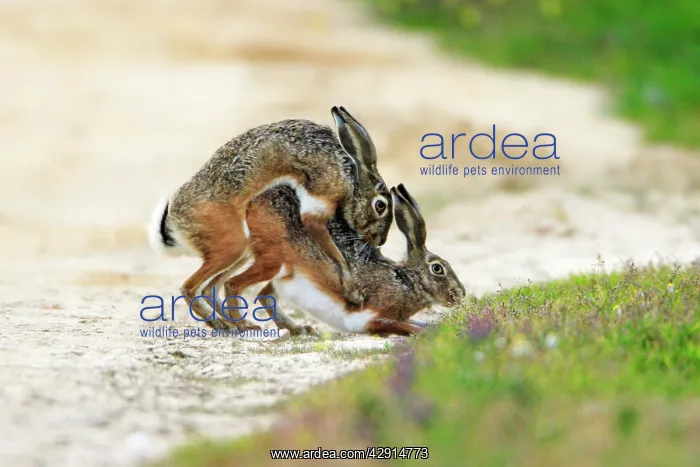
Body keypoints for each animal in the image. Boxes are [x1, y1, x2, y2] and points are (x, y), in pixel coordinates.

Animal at [147, 106, 393, 330]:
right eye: (380, 205)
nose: (380, 240)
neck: (353, 181)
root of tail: (176, 217)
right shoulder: (325, 194)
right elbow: (334, 252)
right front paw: (353, 291)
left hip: (241, 250)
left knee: (210, 287)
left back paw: (238, 324)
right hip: (232, 243)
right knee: (191, 287)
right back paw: (225, 324)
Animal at [220, 182, 466, 336]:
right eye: (438, 269)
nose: (461, 295)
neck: (408, 281)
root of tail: (253, 202)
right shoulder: (371, 317)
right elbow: (407, 326)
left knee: (264, 294)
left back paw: (298, 329)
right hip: (274, 262)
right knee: (233, 284)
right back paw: (242, 326)